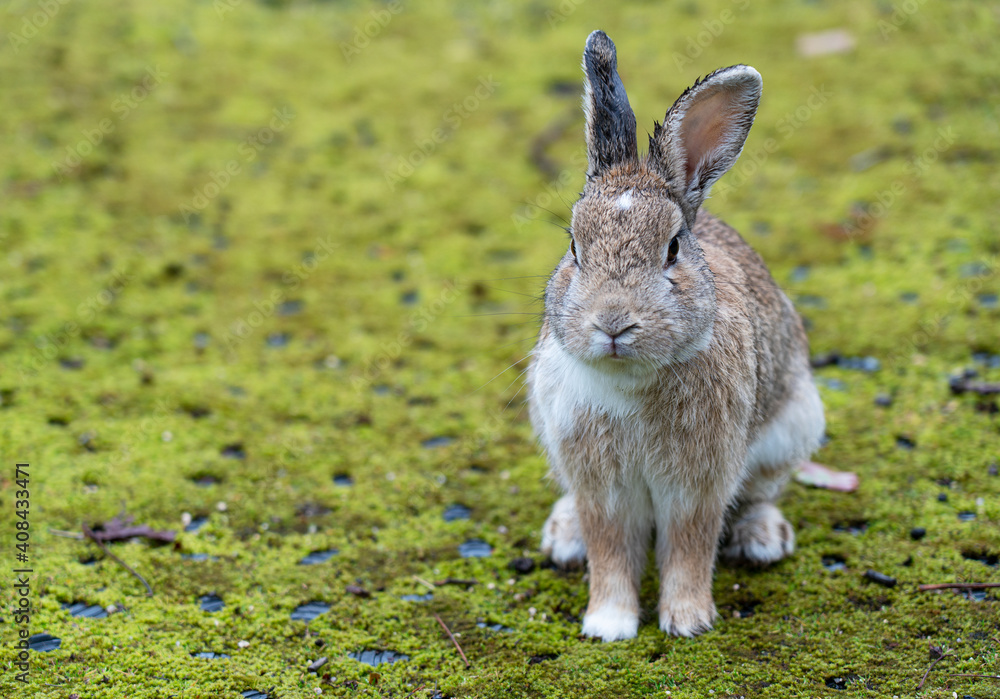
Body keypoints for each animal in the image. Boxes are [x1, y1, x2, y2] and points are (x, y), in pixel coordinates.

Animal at [528, 34, 824, 644]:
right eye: (573, 247)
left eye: (672, 248)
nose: (613, 322)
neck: (631, 380)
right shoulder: (599, 483)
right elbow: (609, 549)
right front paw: (608, 625)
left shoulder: (699, 480)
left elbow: (691, 546)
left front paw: (688, 622)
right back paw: (564, 536)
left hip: (791, 430)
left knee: (761, 493)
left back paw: (763, 539)